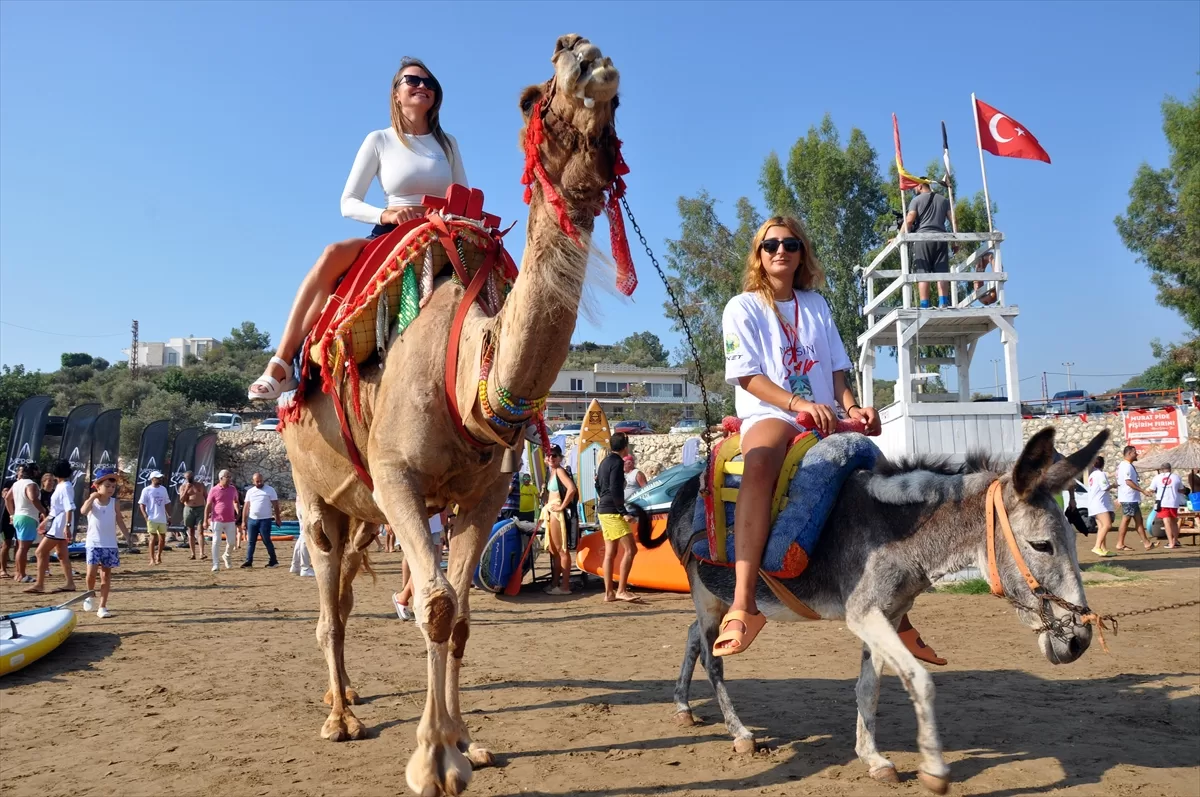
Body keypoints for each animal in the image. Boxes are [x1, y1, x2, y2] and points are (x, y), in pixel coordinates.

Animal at [277, 34, 624, 797]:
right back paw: (340, 716)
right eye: (532, 101)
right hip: (312, 488)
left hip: (360, 507)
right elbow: (434, 606)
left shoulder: (484, 494)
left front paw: (467, 744)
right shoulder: (398, 477)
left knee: (345, 591)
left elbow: (460, 617)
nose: (583, 52)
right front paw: (432, 761)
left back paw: (347, 695)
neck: (470, 371)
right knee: (326, 596)